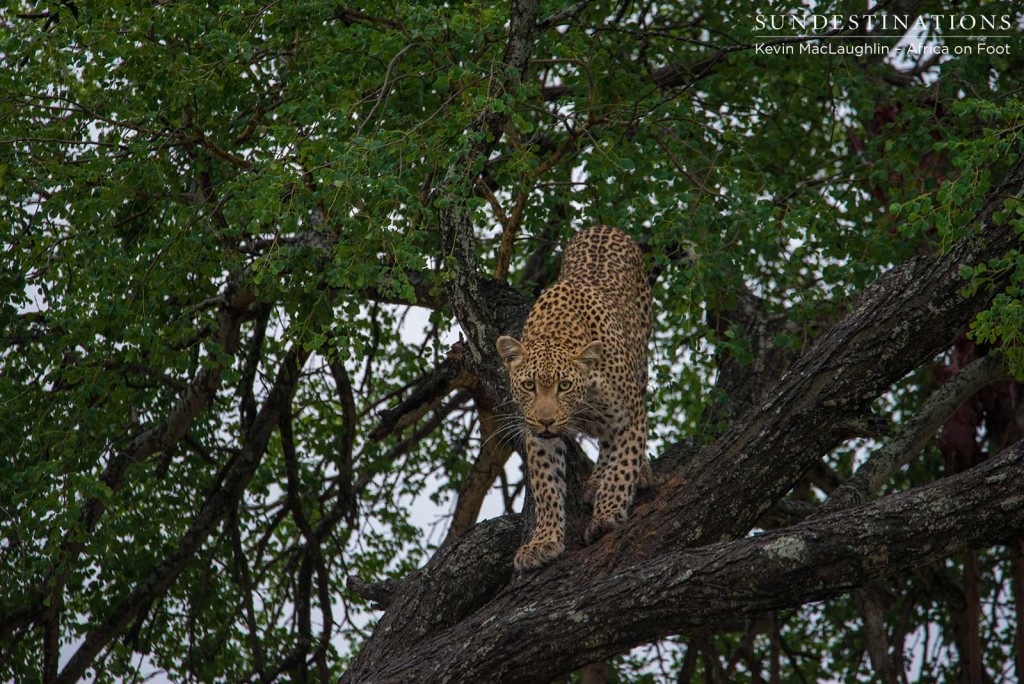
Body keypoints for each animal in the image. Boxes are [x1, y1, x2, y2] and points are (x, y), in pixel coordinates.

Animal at [497, 225, 655, 573]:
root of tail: (603, 226)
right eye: (528, 385)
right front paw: (543, 542)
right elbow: (546, 486)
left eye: (565, 385)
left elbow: (622, 466)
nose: (546, 420)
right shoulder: (537, 437)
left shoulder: (630, 416)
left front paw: (607, 515)